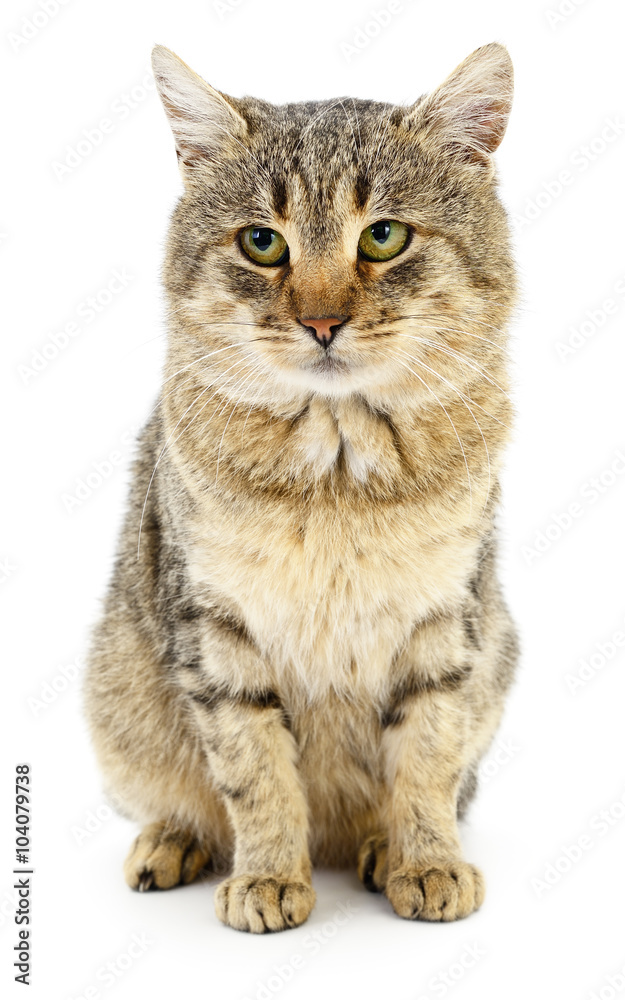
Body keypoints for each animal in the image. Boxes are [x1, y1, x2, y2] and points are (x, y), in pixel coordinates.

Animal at [85, 39, 520, 928]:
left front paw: (425, 859)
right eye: (261, 242)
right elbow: (253, 771)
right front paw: (267, 877)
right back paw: (172, 841)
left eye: (383, 236)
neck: (337, 468)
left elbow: (428, 758)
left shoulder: (446, 624)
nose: (321, 321)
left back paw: (379, 848)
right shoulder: (215, 629)